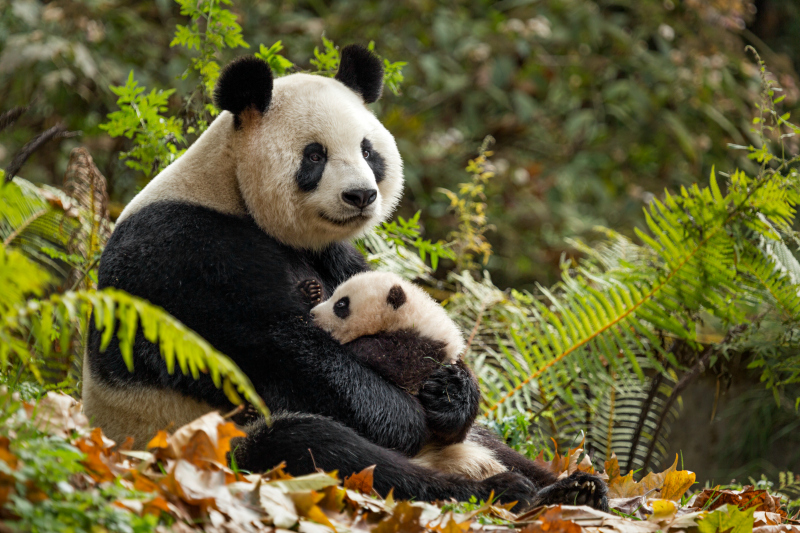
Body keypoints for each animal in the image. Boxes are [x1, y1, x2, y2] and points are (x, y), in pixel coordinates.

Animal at [83, 46, 608, 512]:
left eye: (368, 150)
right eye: (314, 155)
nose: (361, 195)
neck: (229, 189)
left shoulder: (331, 253)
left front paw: (453, 394)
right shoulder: (188, 259)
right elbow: (279, 354)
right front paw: (407, 417)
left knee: (493, 443)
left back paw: (573, 488)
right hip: (200, 442)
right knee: (318, 448)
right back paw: (497, 490)